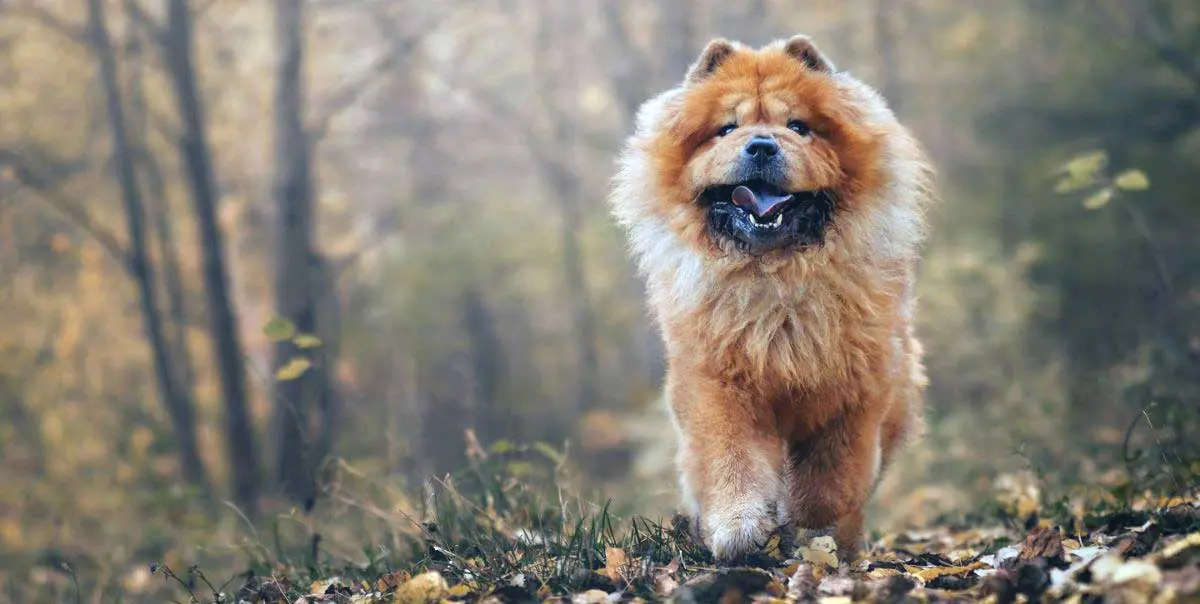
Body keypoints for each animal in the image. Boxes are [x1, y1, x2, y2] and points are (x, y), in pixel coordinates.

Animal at [609, 34, 936, 561]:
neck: (774, 279)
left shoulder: (856, 389)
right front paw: (739, 528)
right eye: (726, 129)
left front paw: (809, 527)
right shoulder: (717, 381)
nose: (761, 145)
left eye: (798, 127)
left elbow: (832, 480)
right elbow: (732, 459)